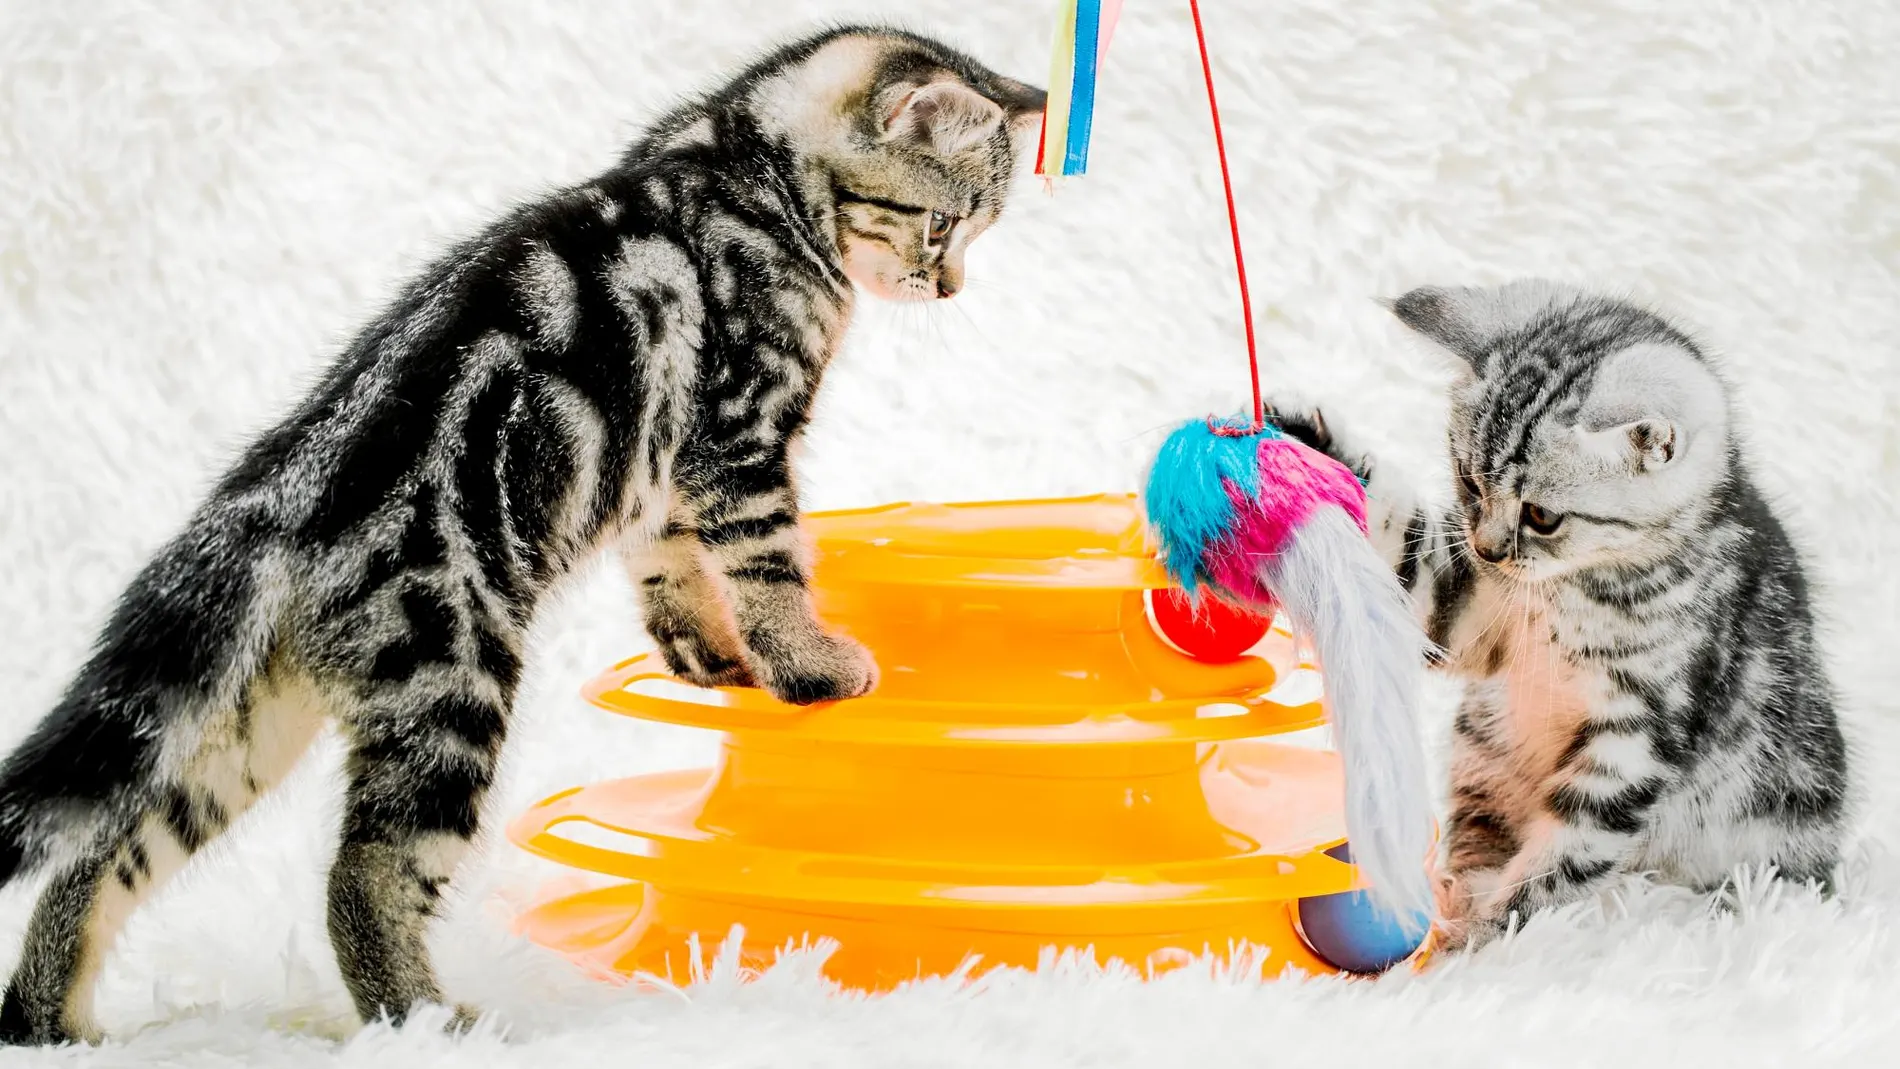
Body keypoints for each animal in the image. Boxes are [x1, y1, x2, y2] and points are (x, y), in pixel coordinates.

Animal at [0, 27, 1041, 1048]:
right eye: (943, 224)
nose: (949, 286)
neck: (745, 162)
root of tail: (275, 503)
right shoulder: (740, 430)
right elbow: (766, 559)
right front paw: (809, 662)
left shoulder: (665, 467)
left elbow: (670, 564)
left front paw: (711, 656)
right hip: (451, 679)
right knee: (363, 874)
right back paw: (428, 1020)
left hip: (240, 725)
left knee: (103, 846)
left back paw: (54, 1015)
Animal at [1269, 281, 1846, 949]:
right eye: (1469, 482)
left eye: (1542, 517)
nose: (1488, 549)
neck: (1577, 590)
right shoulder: (1468, 608)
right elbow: (1408, 565)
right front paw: (1308, 441)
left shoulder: (1636, 738)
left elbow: (1564, 859)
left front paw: (1489, 940)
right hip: (1484, 750)